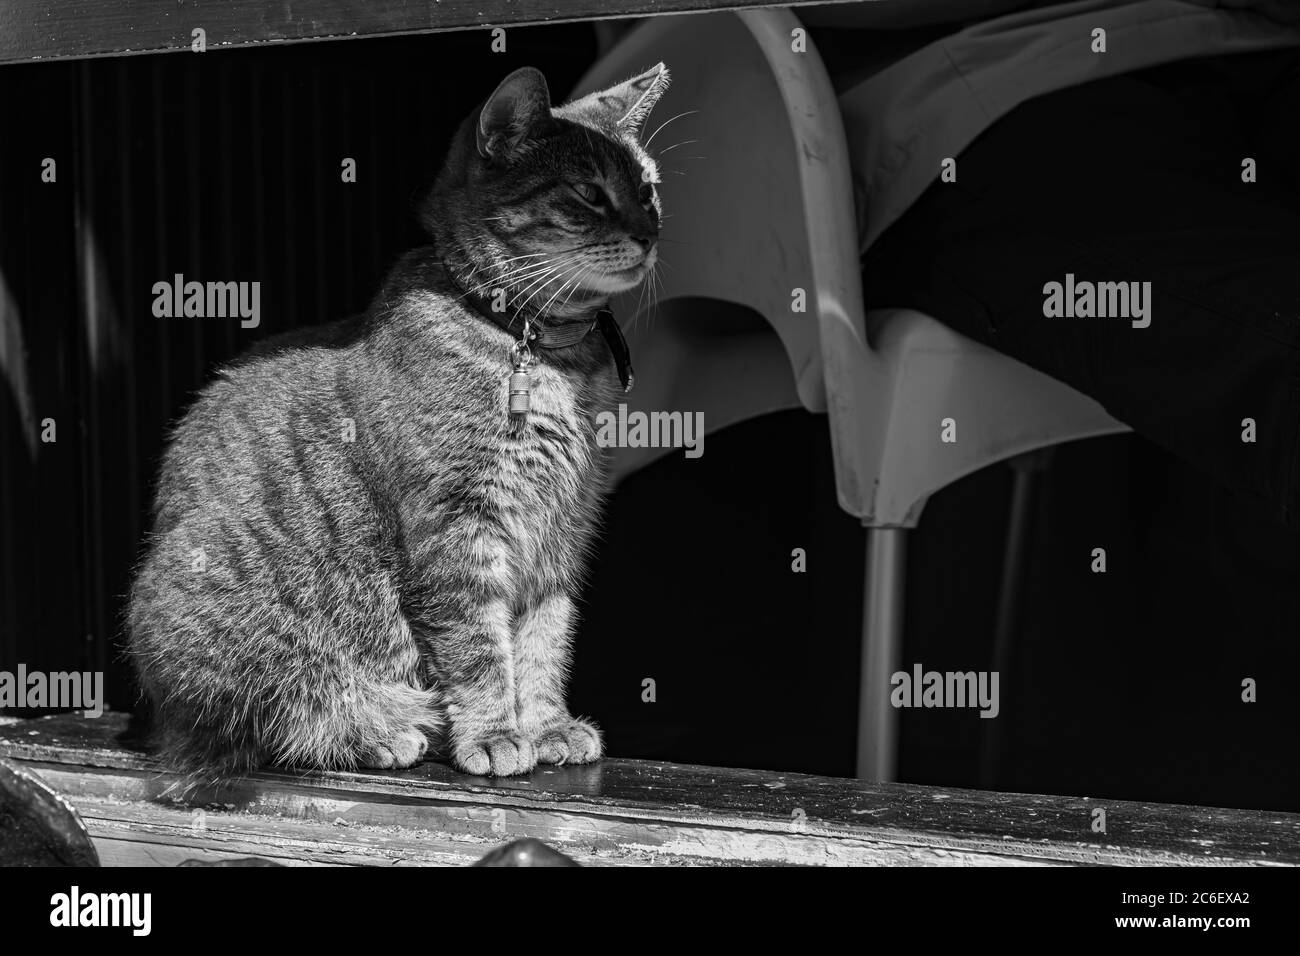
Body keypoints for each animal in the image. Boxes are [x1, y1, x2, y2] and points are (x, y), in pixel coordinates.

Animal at [126, 61, 670, 780]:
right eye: (589, 193)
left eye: (648, 191)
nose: (650, 233)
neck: (544, 351)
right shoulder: (456, 526)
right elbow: (479, 647)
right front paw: (496, 732)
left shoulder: (561, 532)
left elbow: (543, 639)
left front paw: (546, 724)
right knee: (256, 724)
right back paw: (375, 728)